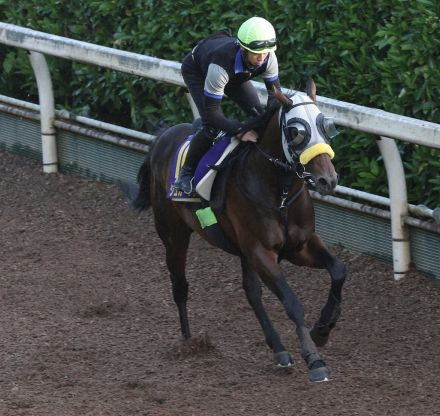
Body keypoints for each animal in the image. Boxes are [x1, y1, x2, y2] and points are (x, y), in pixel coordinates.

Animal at [129, 82, 346, 384]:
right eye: (296, 132)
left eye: (326, 126)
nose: (329, 180)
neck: (279, 193)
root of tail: (162, 138)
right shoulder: (260, 251)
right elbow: (292, 302)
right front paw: (314, 360)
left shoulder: (298, 246)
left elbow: (338, 270)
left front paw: (323, 330)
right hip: (174, 235)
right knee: (180, 286)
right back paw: (188, 341)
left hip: (242, 252)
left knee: (251, 292)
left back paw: (278, 350)